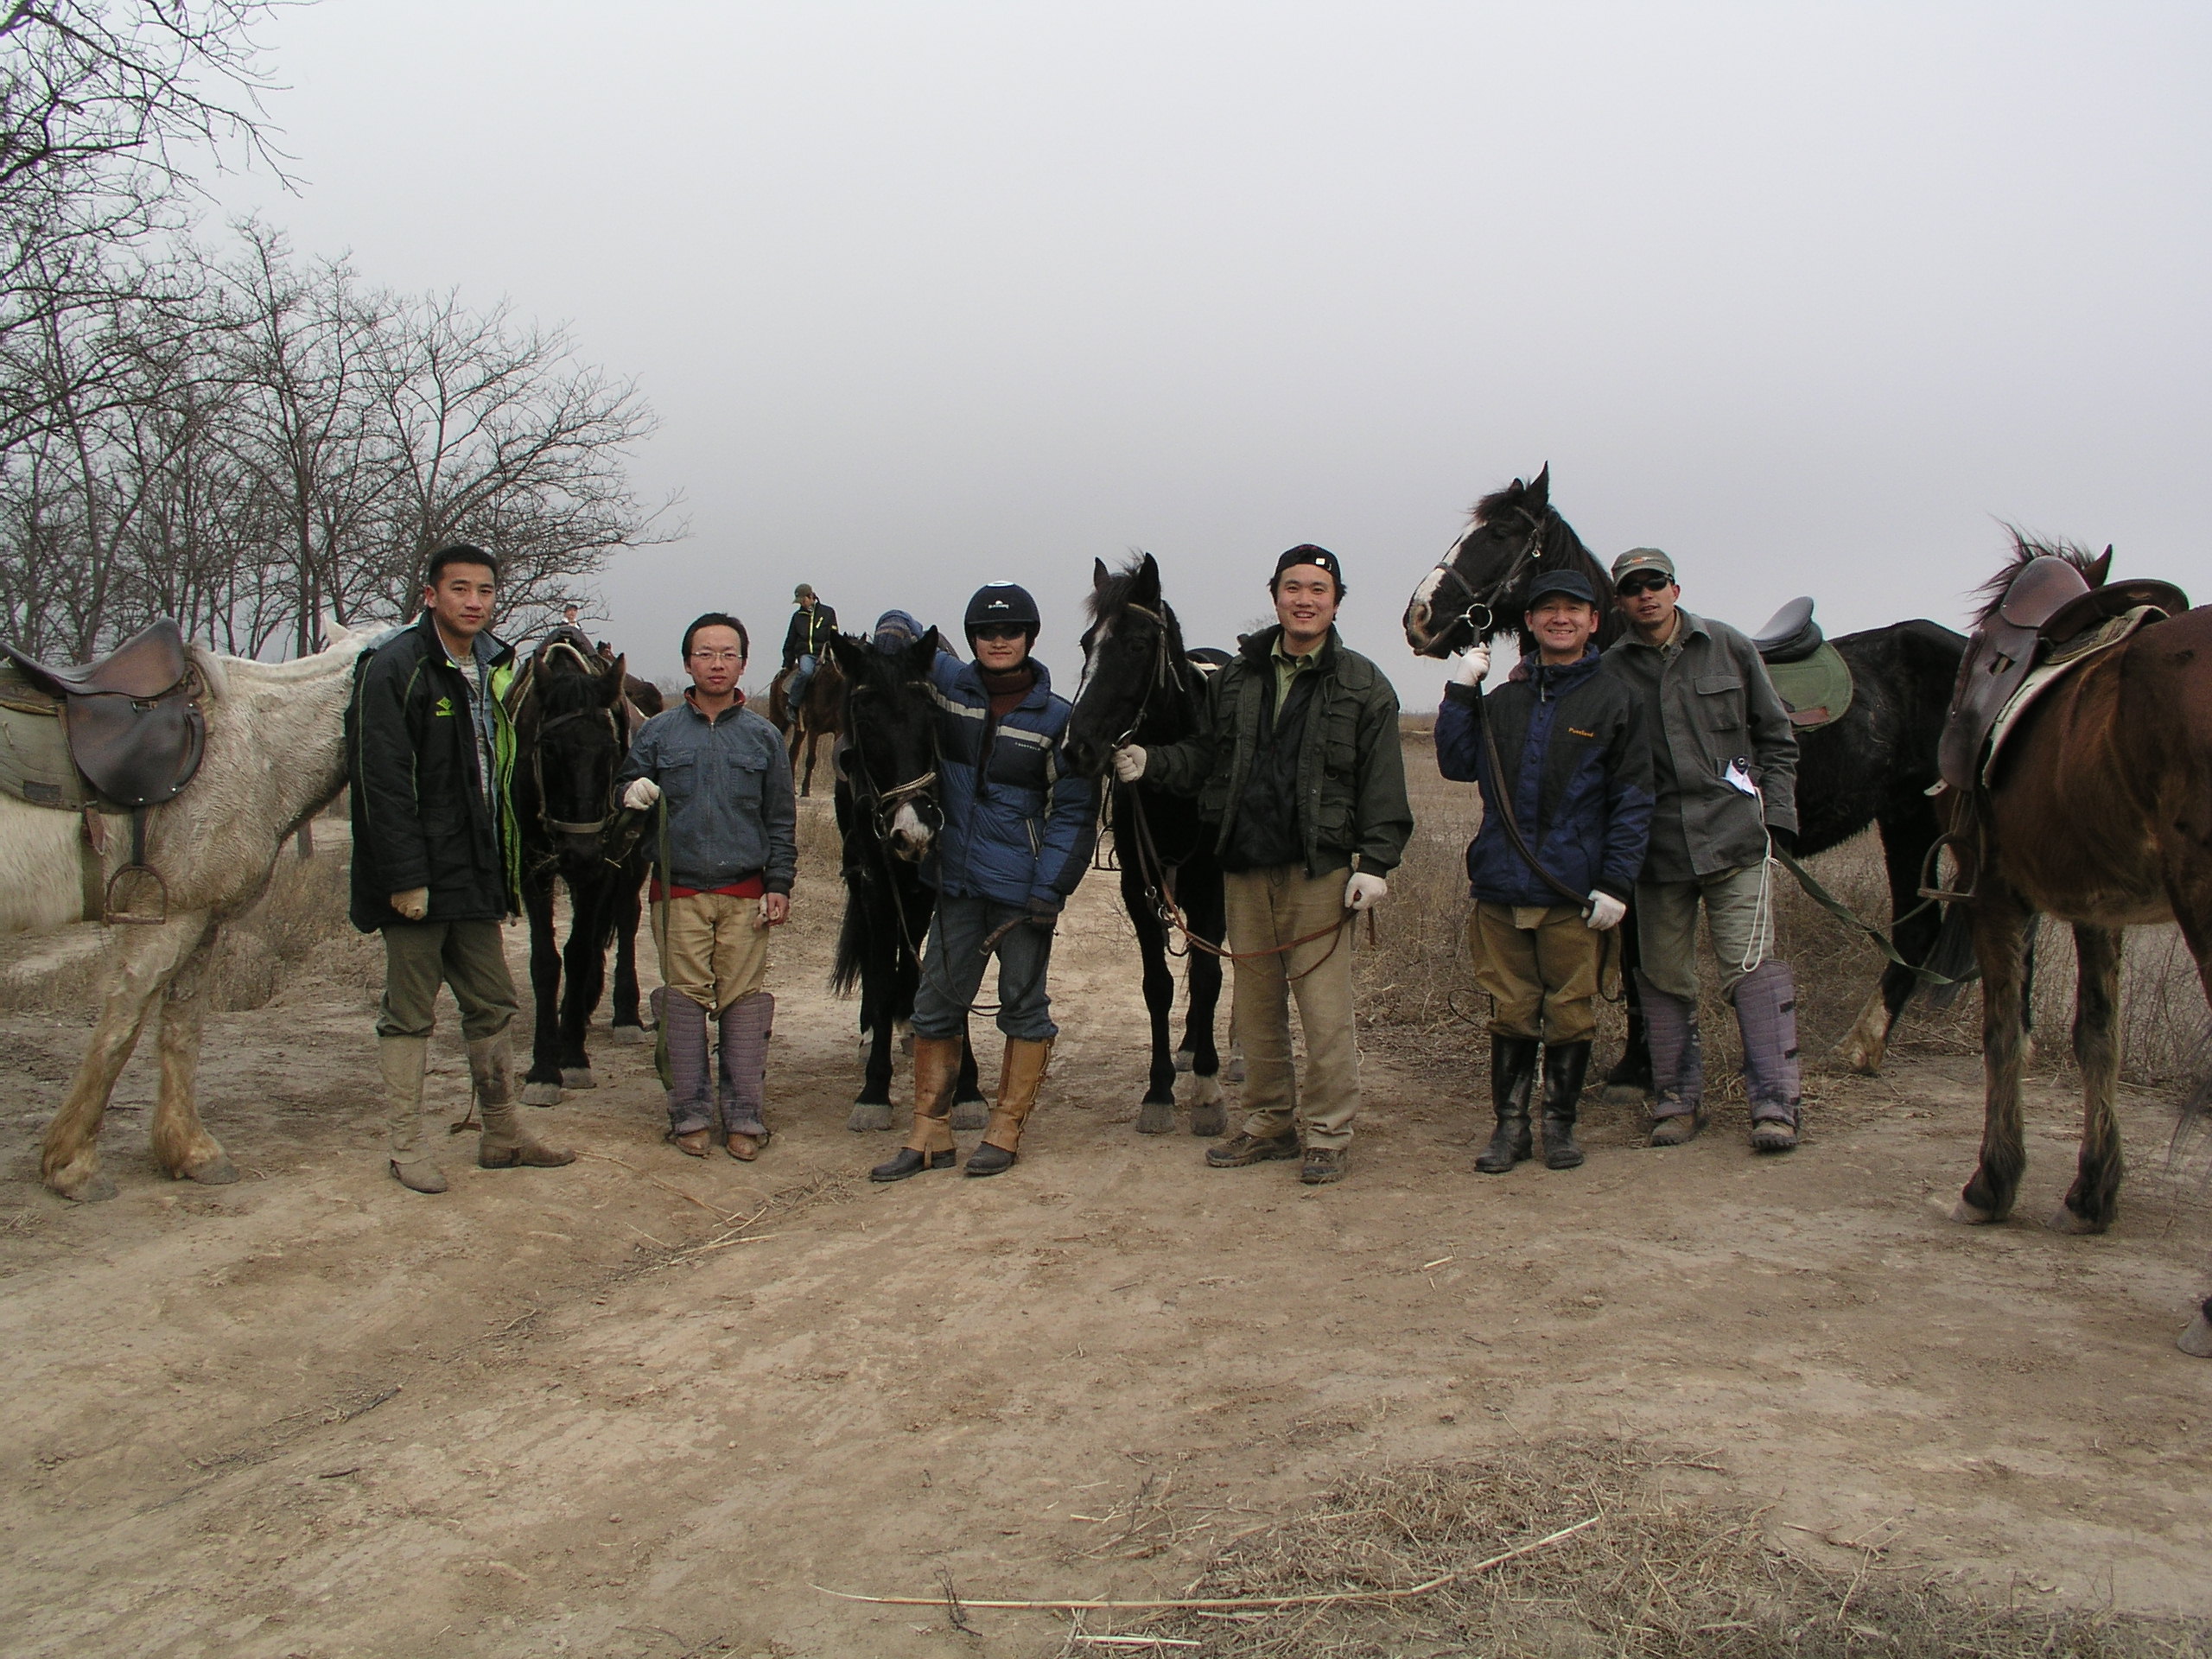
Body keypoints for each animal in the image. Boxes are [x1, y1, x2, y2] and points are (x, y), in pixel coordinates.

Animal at [508, 628, 654, 1110]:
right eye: (548, 749)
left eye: (609, 749)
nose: (583, 850)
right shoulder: (534, 869)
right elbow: (546, 961)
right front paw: (543, 1067)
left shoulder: (599, 869)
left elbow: (576, 953)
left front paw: (571, 1056)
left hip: (628, 863)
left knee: (625, 920)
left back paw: (624, 1013)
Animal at [827, 628, 982, 1141]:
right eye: (864, 720)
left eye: (931, 716)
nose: (914, 831)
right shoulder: (876, 885)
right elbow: (878, 970)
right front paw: (874, 1092)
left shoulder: (940, 886)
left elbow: (952, 973)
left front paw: (968, 1088)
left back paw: (911, 1024)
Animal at [1065, 553, 1238, 1141]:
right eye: (1087, 643)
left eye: (1138, 644)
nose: (1078, 747)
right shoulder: (1139, 889)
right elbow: (1158, 985)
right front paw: (1160, 1089)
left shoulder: (1213, 889)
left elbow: (1208, 977)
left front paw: (1208, 1089)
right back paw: (1188, 1046)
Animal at [1407, 468, 1981, 1092]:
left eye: (1501, 533)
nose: (1418, 617)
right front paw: (1637, 1063)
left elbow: (1638, 961)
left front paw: (1640, 1065)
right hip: (1906, 816)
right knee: (1920, 931)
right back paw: (1868, 1044)